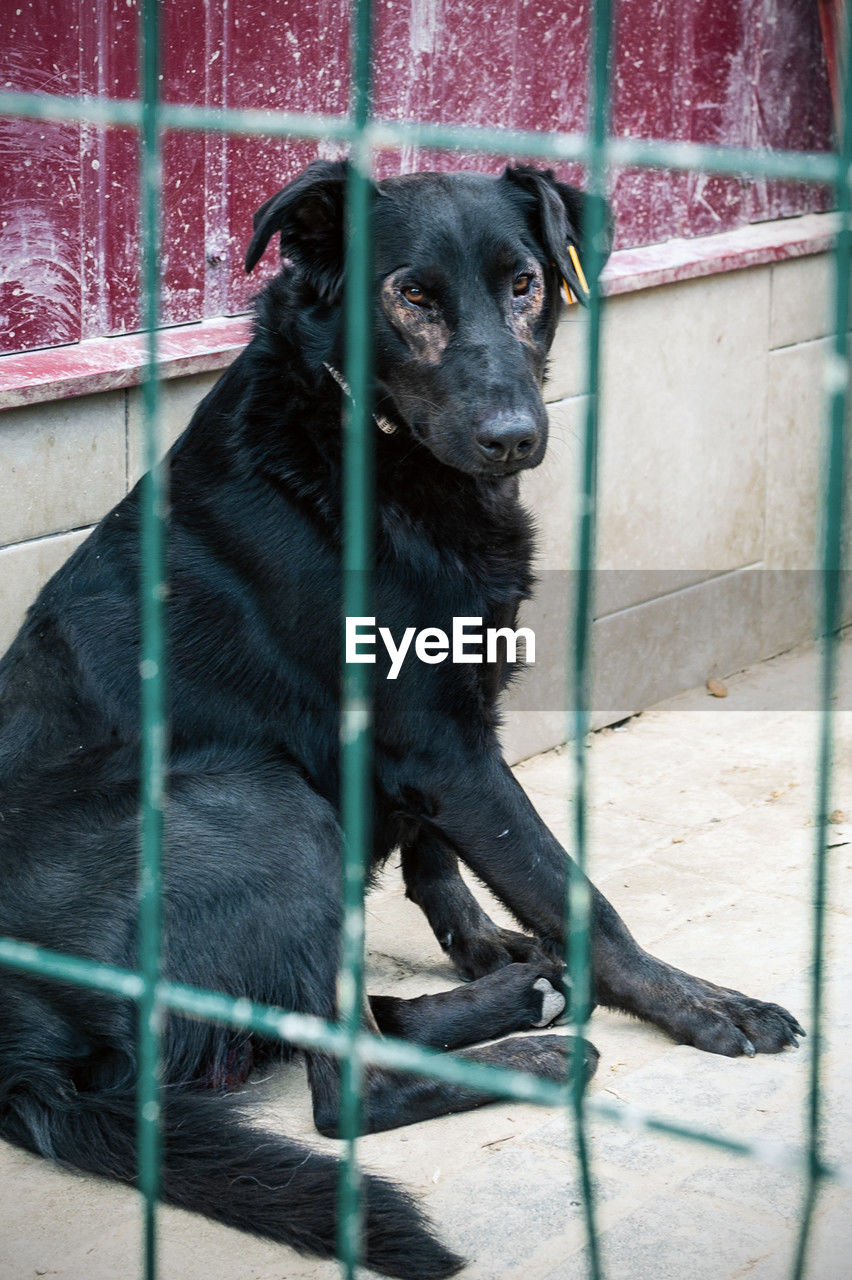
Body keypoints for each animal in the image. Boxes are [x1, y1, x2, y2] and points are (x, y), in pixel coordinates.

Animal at [0, 162, 798, 1280]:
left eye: (524, 285)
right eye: (412, 296)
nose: (515, 436)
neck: (371, 449)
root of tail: (22, 1054)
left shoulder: (442, 735)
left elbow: (440, 862)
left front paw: (489, 947)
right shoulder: (443, 745)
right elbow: (576, 893)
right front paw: (700, 1005)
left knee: (344, 1021)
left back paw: (514, 1002)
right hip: (264, 801)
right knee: (347, 1091)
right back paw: (537, 1052)